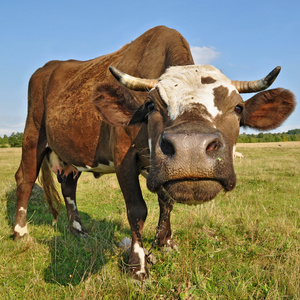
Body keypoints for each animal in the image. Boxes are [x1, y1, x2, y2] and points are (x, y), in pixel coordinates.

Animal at [14, 25, 296, 278]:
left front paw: (165, 243)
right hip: (33, 134)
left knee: (68, 186)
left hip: (70, 154)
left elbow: (167, 202)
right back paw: (20, 231)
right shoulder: (123, 158)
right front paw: (137, 265)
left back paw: (77, 230)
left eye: (238, 108)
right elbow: (137, 210)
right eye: (150, 105)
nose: (191, 150)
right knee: (25, 178)